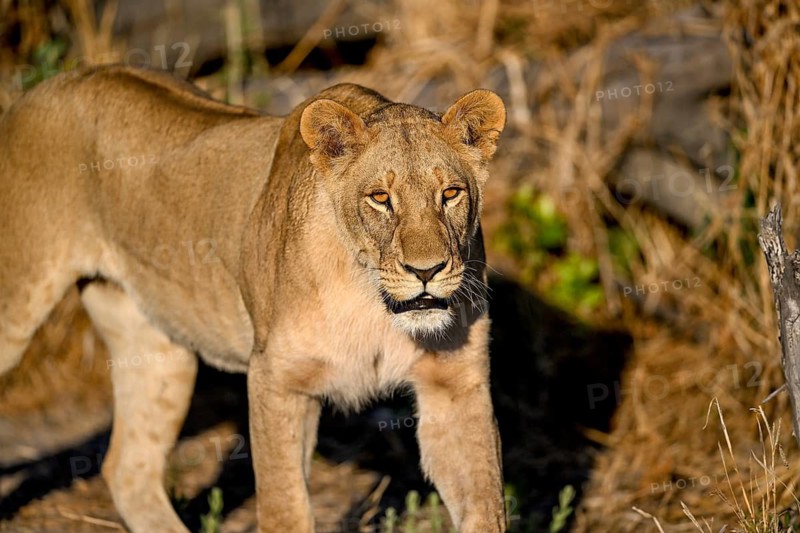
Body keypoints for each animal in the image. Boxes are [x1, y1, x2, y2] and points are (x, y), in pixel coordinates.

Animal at [0, 65, 507, 532]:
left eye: (450, 193)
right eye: (380, 197)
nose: (426, 272)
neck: (372, 303)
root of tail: (51, 83)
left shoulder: (455, 386)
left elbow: (485, 504)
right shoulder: (276, 380)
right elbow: (284, 508)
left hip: (159, 349)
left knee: (128, 469)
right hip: (18, 301)